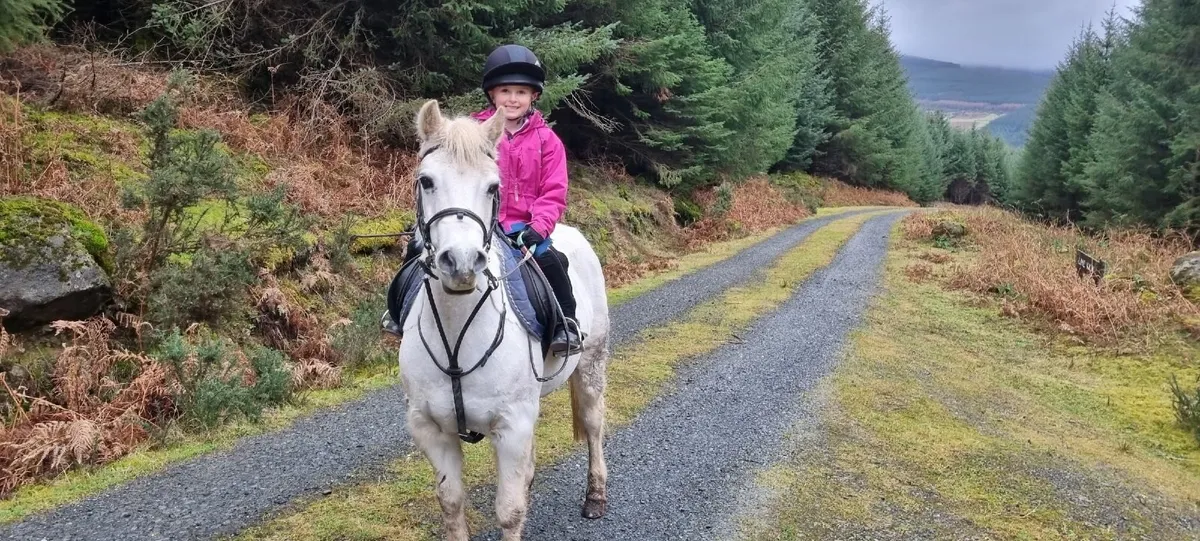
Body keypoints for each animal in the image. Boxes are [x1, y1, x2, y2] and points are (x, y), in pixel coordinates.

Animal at [395, 99, 611, 541]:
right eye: (426, 181)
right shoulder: (430, 429)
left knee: (594, 423)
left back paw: (595, 495)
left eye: (494, 186)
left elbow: (509, 511)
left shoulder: (512, 426)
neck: (457, 336)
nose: (461, 263)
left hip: (592, 365)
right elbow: (451, 503)